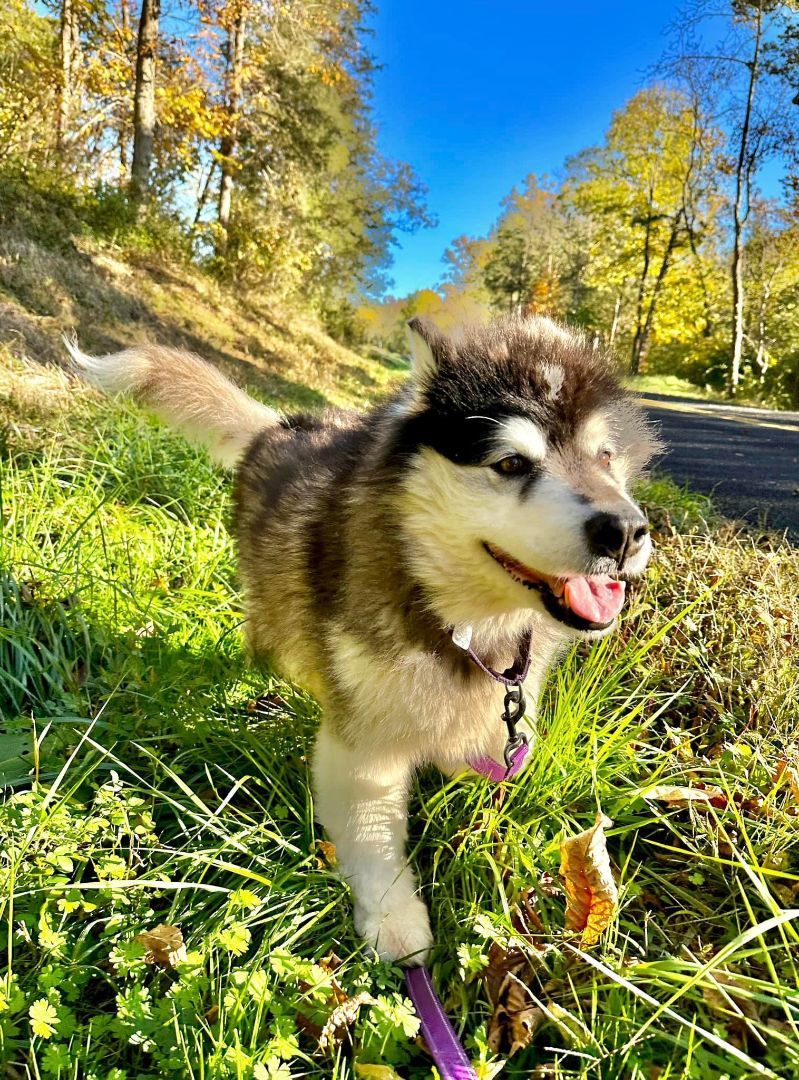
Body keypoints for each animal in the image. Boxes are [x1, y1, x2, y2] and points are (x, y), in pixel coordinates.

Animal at [67, 315, 656, 967]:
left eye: (605, 456)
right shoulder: (362, 744)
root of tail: (280, 425)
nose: (626, 532)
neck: (457, 622)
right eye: (509, 464)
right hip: (272, 599)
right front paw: (395, 923)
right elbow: (372, 836)